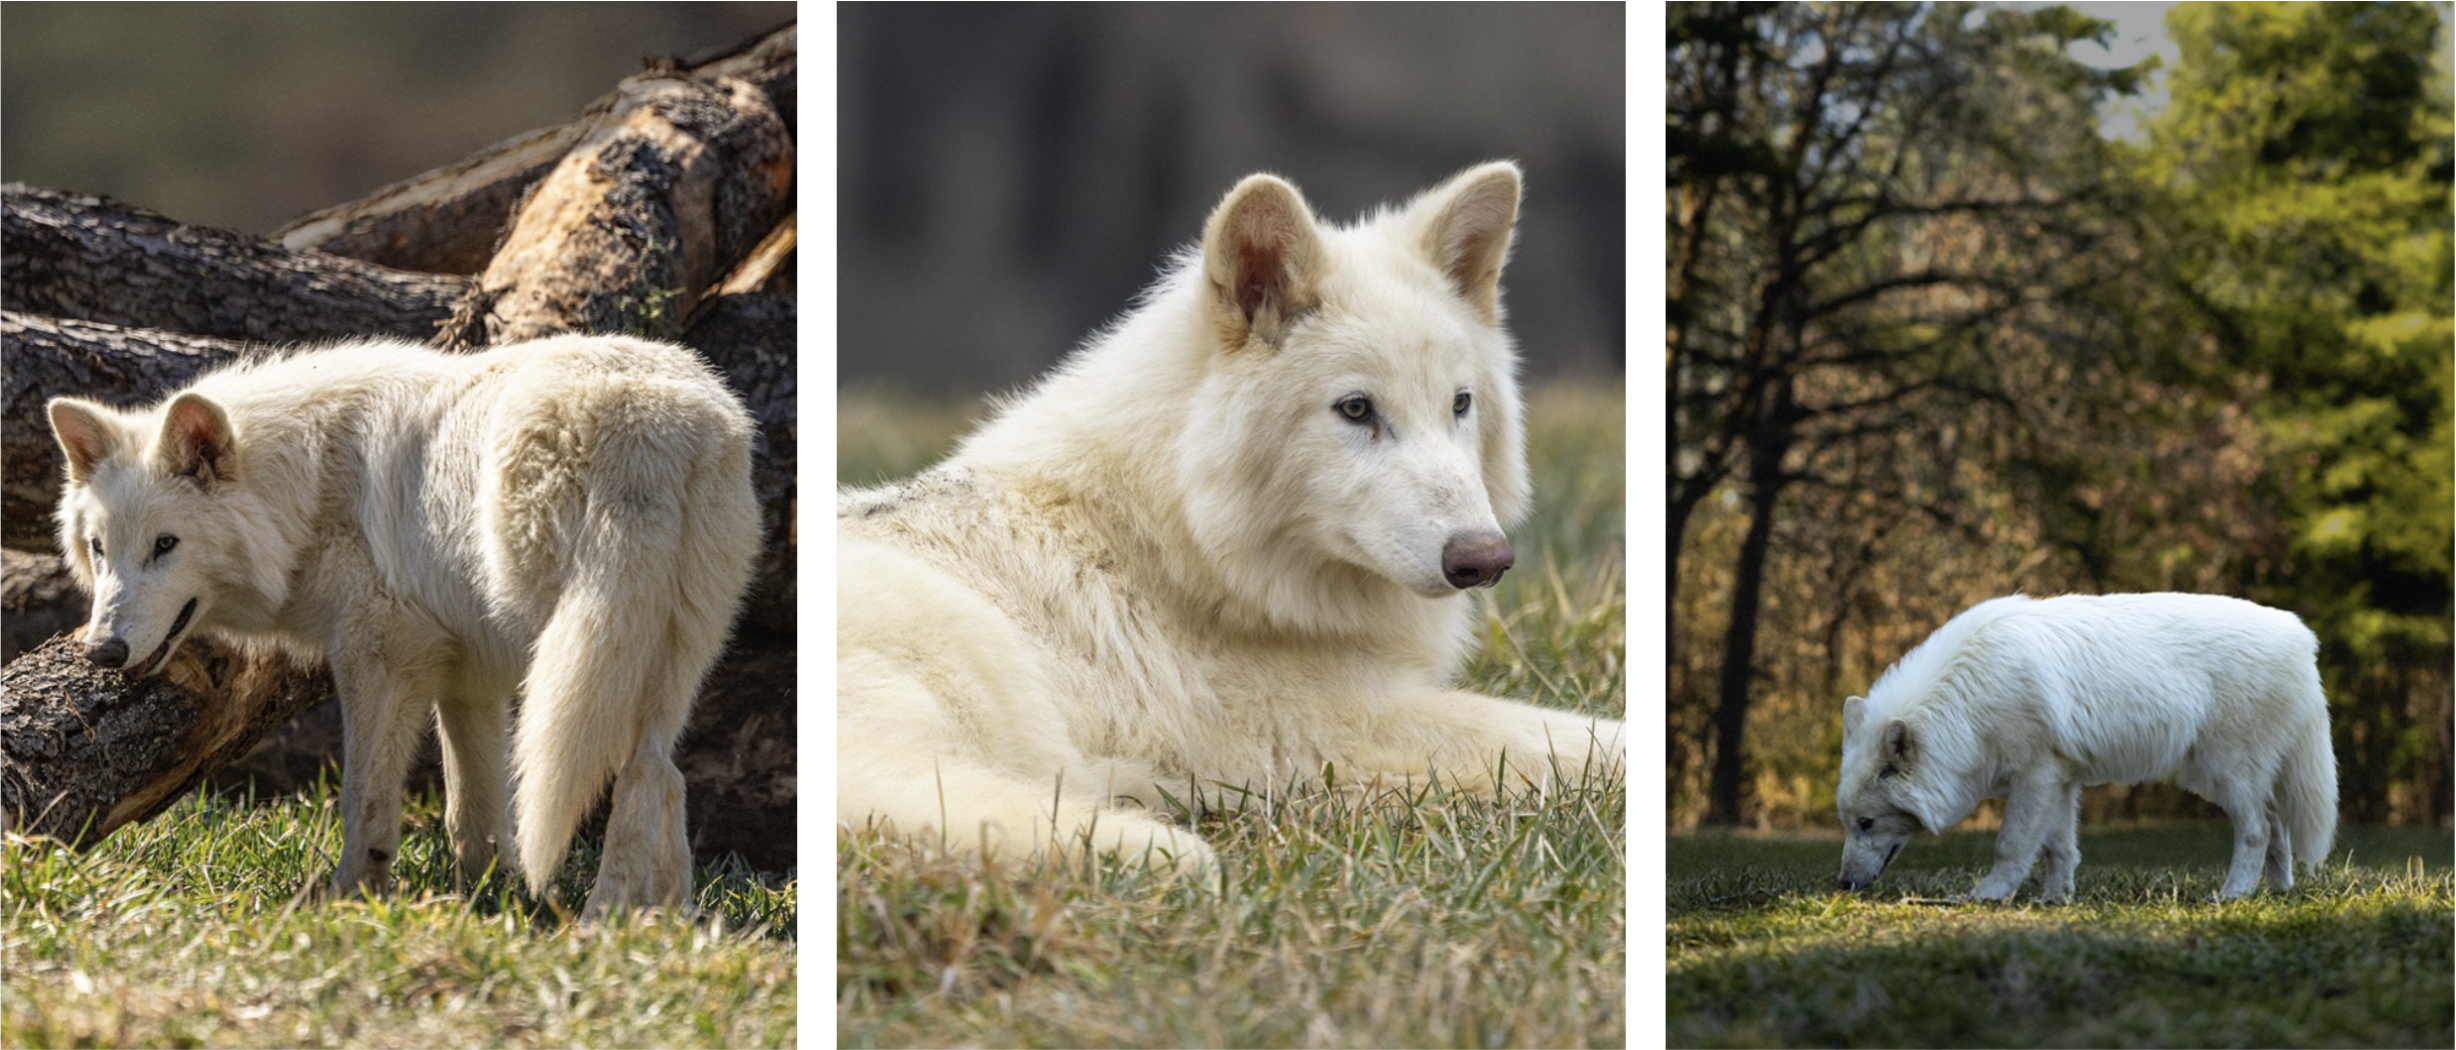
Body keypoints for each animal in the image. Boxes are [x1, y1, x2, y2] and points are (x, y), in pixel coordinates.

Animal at [47, 334, 760, 918]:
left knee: (633, 773)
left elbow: (365, 802)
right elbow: (472, 815)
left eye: (165, 545)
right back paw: (663, 920)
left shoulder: (382, 659)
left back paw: (602, 921)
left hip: (570, 656)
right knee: (658, 772)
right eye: (100, 548)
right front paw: (488, 903)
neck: (306, 488)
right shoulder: (469, 680)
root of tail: (654, 426)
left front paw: (347, 902)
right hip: (659, 660)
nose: (103, 651)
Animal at [837, 162, 1626, 873]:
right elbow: (1590, 742)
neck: (1166, 545)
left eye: (1460, 404)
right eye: (1357, 409)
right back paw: (1163, 848)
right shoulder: (1341, 727)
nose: (1483, 559)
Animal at [1835, 593, 2338, 901]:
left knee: (2258, 829)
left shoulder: (2035, 778)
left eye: (1867, 823)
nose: (1841, 885)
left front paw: (1988, 896)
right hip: (2224, 778)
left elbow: (2010, 845)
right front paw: (2054, 900)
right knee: (2277, 825)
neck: (1968, 699)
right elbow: (2060, 849)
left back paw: (2233, 894)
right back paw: (2275, 891)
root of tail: (2301, 635)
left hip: (2223, 775)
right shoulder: (2059, 781)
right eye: (1848, 824)